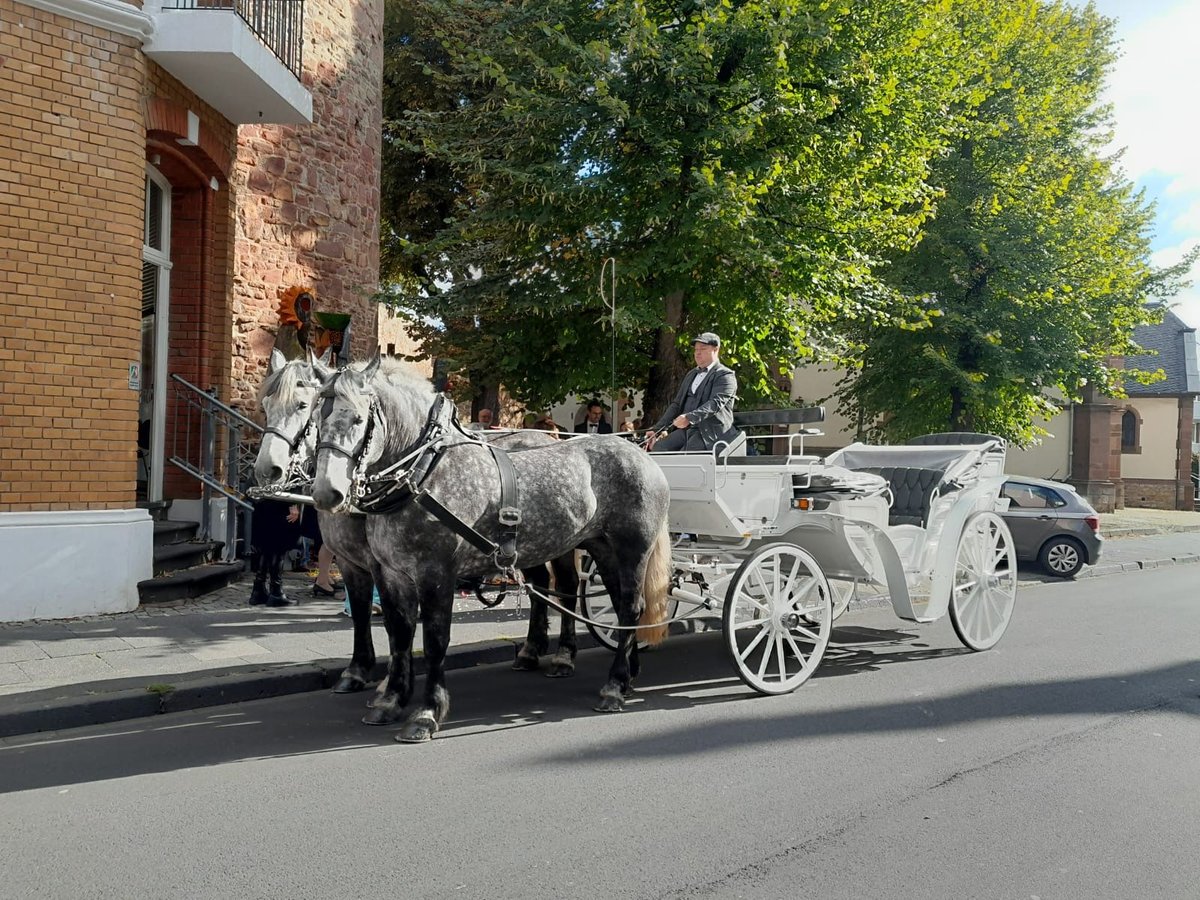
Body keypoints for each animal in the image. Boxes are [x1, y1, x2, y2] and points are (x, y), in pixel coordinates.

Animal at [309, 355, 672, 744]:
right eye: (315, 417)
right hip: (601, 548)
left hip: (633, 549)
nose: (327, 493)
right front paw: (391, 700)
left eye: (358, 418)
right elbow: (399, 634)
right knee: (618, 606)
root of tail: (640, 453)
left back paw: (613, 685)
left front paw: (427, 713)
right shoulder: (392, 573)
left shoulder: (436, 574)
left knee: (629, 606)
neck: (423, 472)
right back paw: (628, 672)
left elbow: (435, 640)